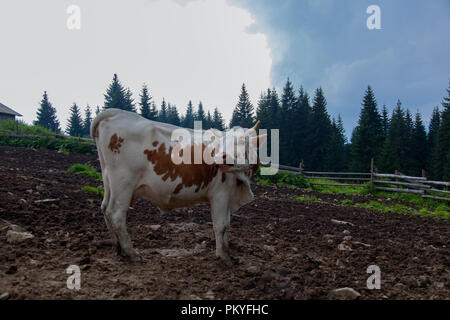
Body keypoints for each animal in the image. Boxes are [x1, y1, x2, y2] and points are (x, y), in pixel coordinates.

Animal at [91, 109, 268, 264]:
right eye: (222, 143)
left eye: (243, 141)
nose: (222, 158)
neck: (241, 182)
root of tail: (118, 113)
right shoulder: (220, 195)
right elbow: (221, 225)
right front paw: (223, 257)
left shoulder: (229, 197)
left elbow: (227, 224)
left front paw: (228, 251)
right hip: (123, 184)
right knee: (116, 214)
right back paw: (131, 253)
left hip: (108, 180)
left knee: (105, 209)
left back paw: (118, 248)